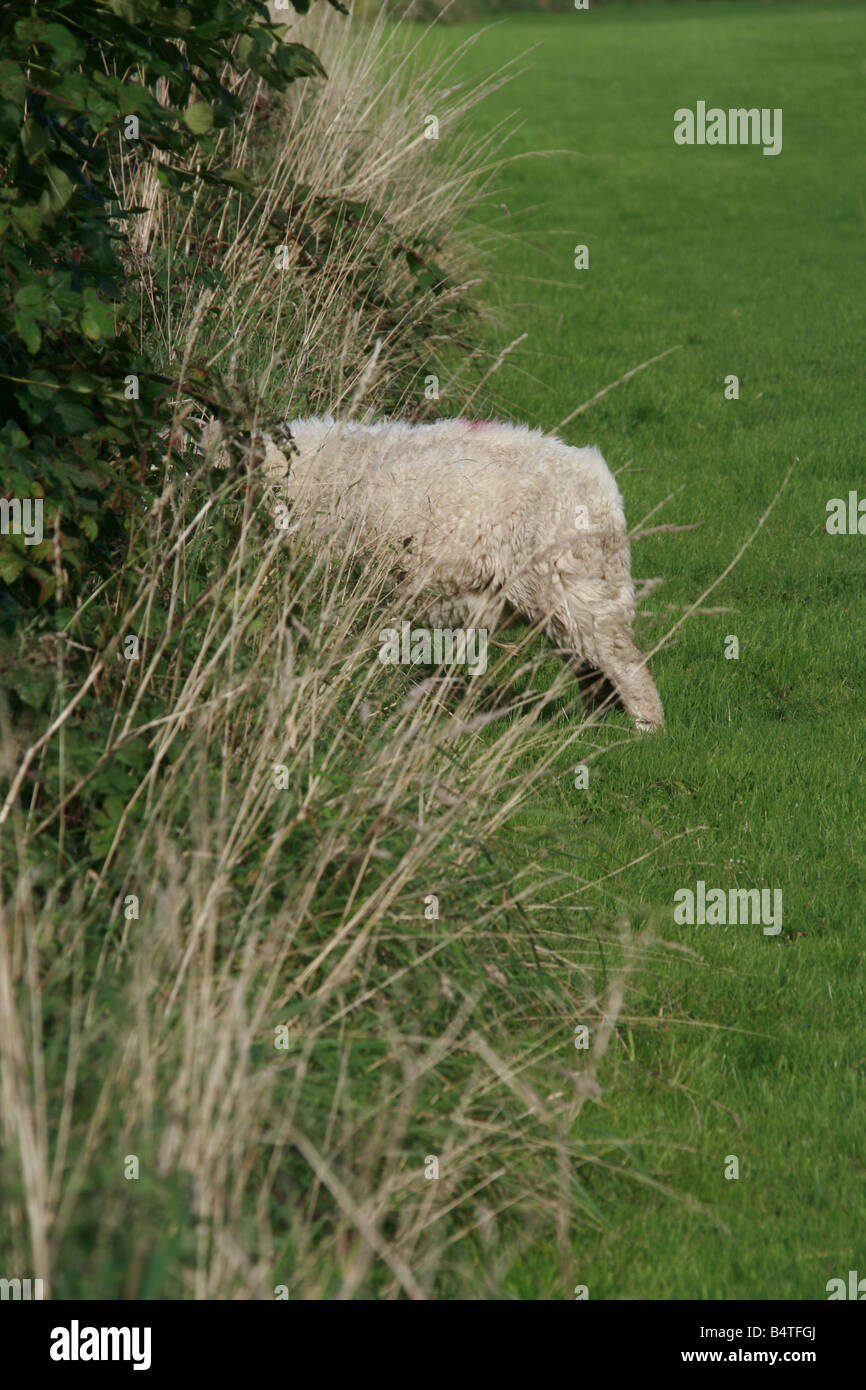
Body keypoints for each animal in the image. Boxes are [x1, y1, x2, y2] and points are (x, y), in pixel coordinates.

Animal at [238, 415, 664, 732]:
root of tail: (601, 486)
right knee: (592, 668)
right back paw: (593, 724)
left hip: (574, 588)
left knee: (625, 663)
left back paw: (645, 730)